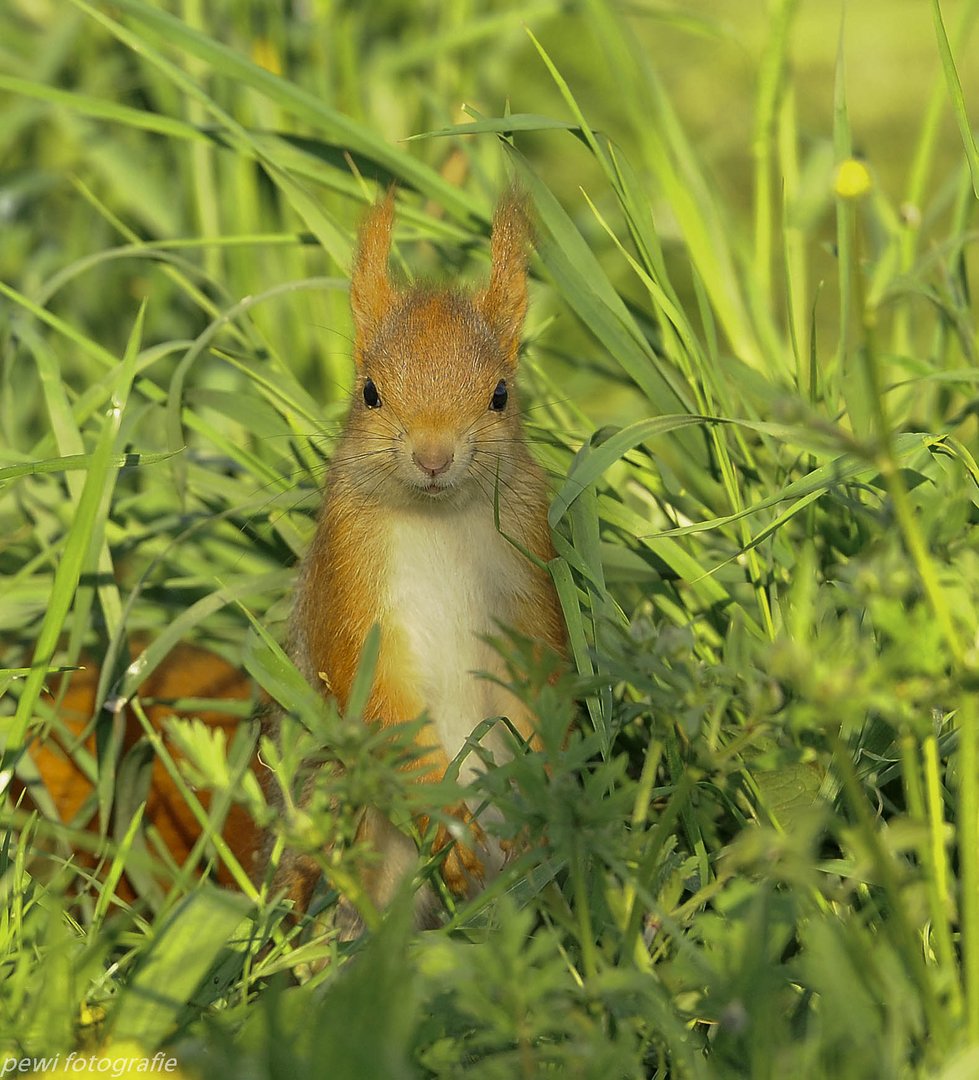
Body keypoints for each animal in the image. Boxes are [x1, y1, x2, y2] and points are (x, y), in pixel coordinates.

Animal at [271, 190, 570, 924]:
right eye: (370, 392)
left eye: (500, 394)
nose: (434, 457)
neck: (439, 523)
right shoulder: (348, 575)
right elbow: (375, 693)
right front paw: (443, 818)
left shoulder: (528, 570)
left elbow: (539, 680)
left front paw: (539, 792)